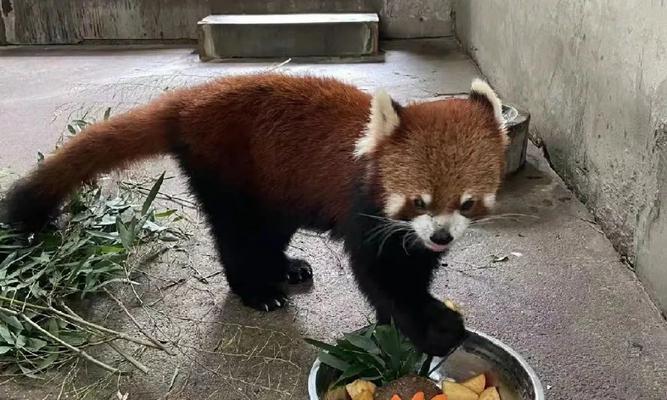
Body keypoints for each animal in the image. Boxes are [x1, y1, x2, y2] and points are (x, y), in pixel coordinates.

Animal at [2, 73, 508, 354]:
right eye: (418, 200)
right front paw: (432, 327)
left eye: (466, 202)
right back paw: (256, 290)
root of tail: (188, 101)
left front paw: (403, 323)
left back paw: (285, 268)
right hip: (229, 172)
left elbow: (407, 274)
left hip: (273, 187)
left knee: (269, 234)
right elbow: (380, 278)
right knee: (237, 237)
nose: (441, 236)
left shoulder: (410, 240)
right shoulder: (363, 214)